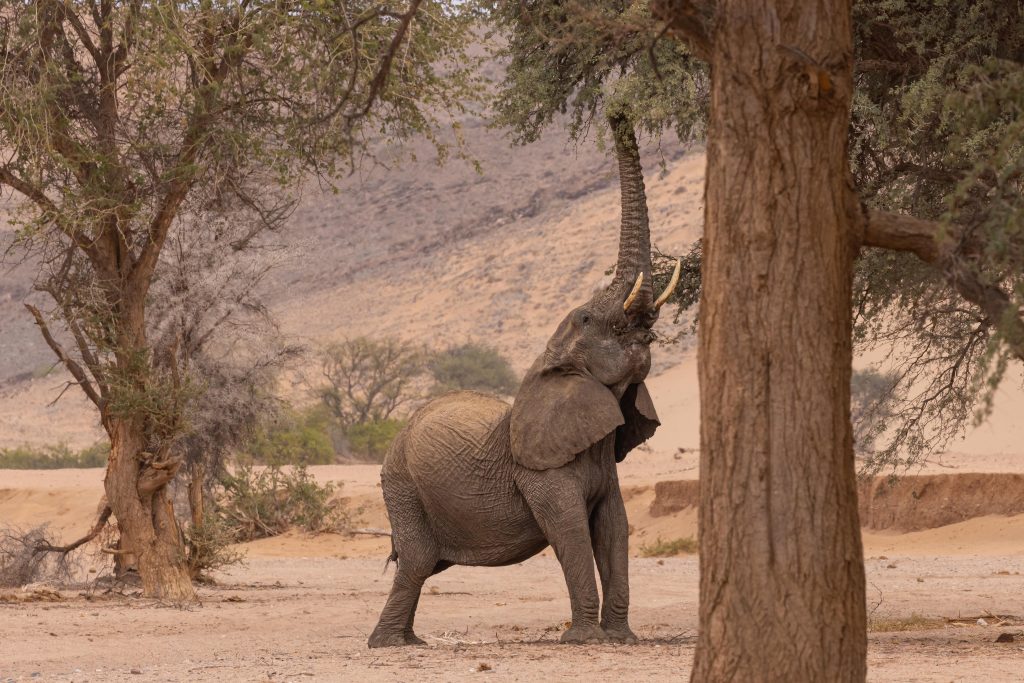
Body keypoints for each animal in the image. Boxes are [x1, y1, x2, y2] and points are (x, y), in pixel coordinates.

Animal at [364, 114, 675, 651]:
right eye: (590, 318)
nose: (617, 112)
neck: (552, 362)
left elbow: (614, 530)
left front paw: (621, 638)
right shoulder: (541, 471)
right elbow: (571, 533)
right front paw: (584, 640)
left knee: (420, 566)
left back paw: (410, 642)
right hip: (401, 485)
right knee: (417, 561)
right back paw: (388, 646)